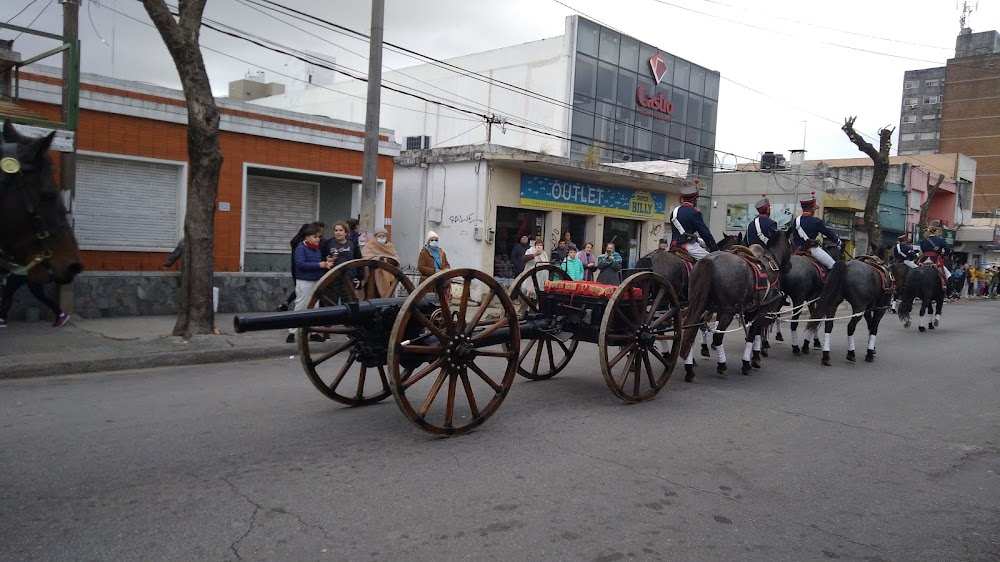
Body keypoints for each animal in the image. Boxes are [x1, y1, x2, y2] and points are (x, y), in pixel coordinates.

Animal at [680, 229, 788, 380]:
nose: (789, 265)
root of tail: (710, 260)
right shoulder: (762, 309)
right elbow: (753, 333)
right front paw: (749, 362)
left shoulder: (748, 310)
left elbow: (753, 333)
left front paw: (754, 356)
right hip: (727, 313)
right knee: (717, 336)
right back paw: (721, 365)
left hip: (699, 306)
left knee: (691, 329)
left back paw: (689, 368)